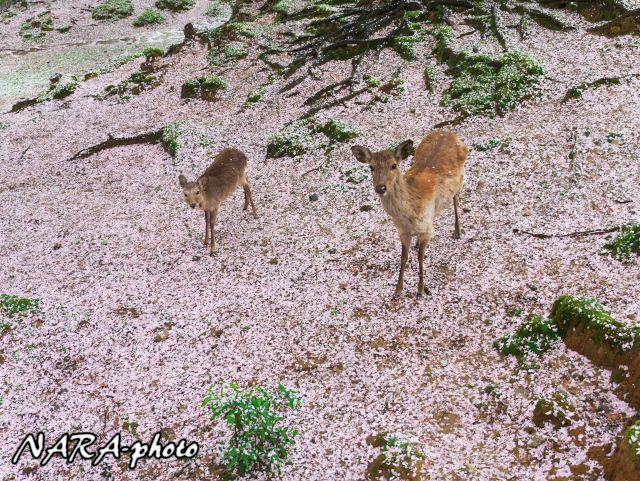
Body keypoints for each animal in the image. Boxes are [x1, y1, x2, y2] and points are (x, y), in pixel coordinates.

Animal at [351, 130, 468, 299]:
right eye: (371, 167)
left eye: (394, 165)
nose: (380, 188)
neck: (409, 215)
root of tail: (448, 132)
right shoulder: (402, 231)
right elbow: (403, 258)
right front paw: (397, 290)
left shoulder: (427, 228)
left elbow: (420, 256)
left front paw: (420, 290)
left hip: (461, 177)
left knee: (456, 199)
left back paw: (458, 231)